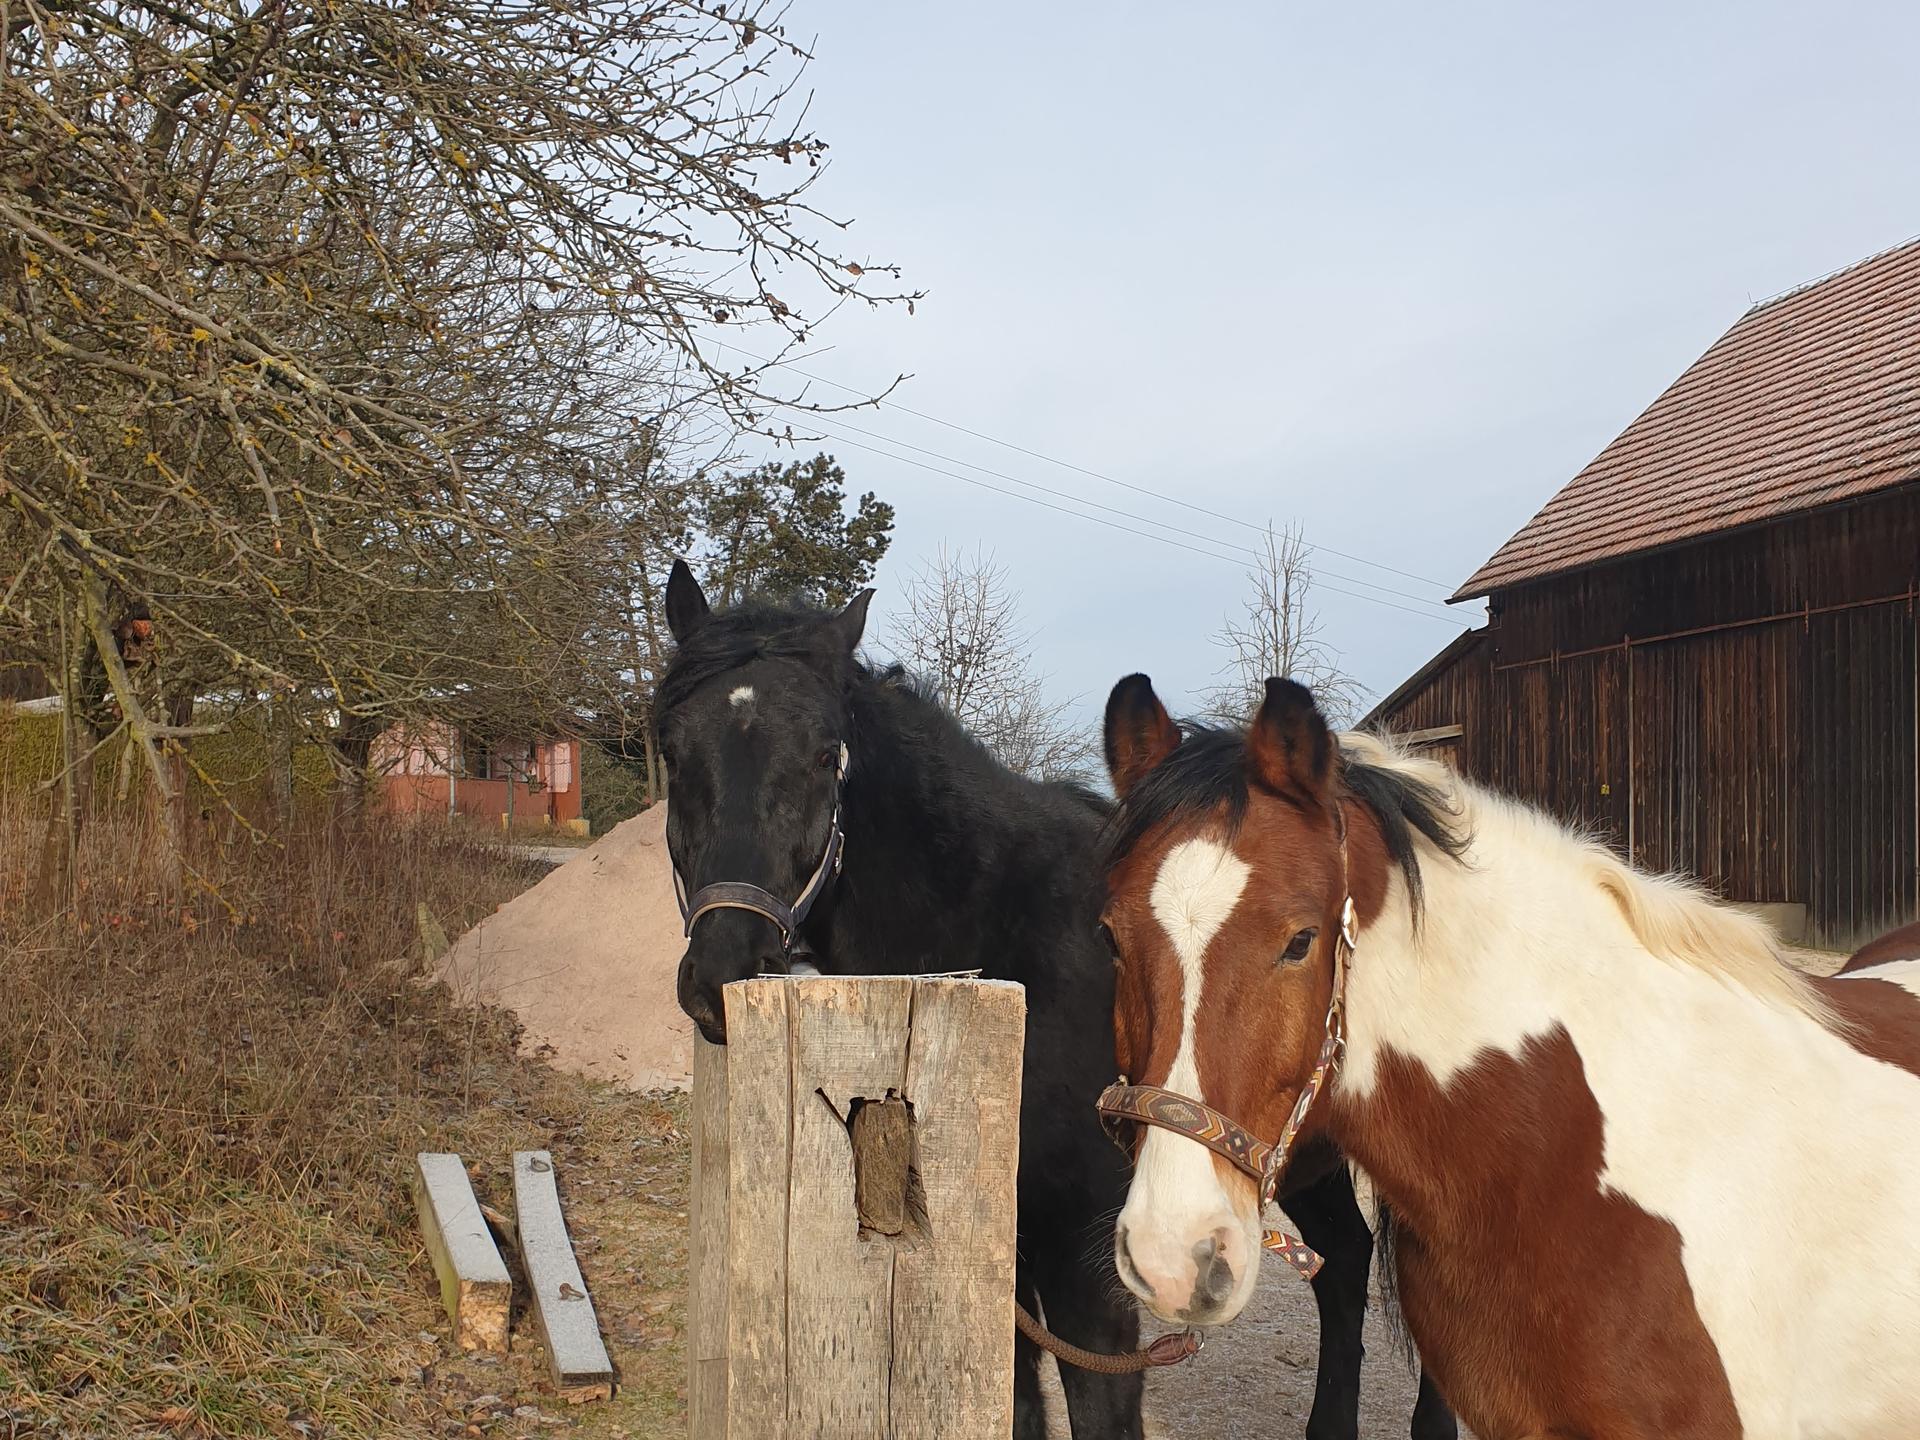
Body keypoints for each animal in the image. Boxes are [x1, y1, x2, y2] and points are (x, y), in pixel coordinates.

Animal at [656, 562, 1456, 1439]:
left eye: (825, 754)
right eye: (672, 750)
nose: (727, 966)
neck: (1008, 946)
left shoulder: (1088, 1260)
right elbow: (1016, 1402)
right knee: (1345, 1261)